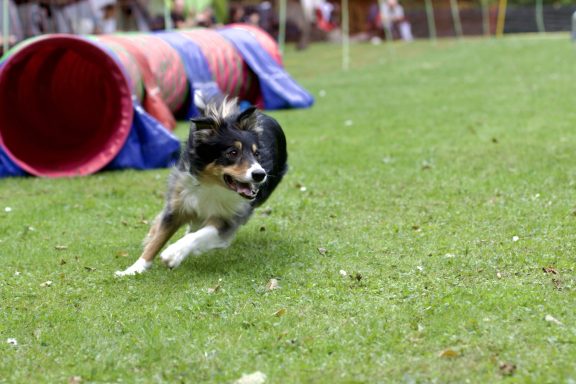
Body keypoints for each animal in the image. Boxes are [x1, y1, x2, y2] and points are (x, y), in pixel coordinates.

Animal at [115, 97, 288, 276]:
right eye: (232, 153)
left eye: (256, 154)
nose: (260, 174)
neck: (211, 185)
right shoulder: (177, 205)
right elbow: (157, 240)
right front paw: (134, 269)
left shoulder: (228, 219)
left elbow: (199, 235)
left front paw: (174, 253)